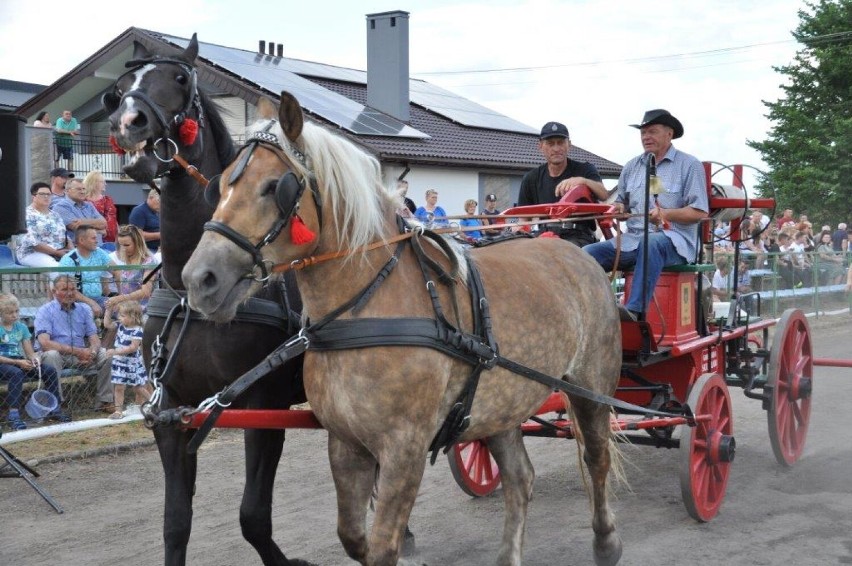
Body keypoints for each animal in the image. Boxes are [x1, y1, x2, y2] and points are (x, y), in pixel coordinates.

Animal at [103, 37, 310, 566]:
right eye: (122, 86)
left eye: (179, 79)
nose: (127, 120)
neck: (188, 296)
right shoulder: (172, 411)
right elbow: (176, 522)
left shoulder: (261, 404)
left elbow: (253, 515)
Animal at [183, 95, 624, 564]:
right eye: (219, 186)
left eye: (274, 187)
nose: (200, 279)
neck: (366, 306)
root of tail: (576, 254)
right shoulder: (346, 442)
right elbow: (353, 537)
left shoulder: (404, 447)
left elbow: (382, 547)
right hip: (501, 400)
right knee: (520, 477)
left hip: (590, 386)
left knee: (596, 457)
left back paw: (606, 541)